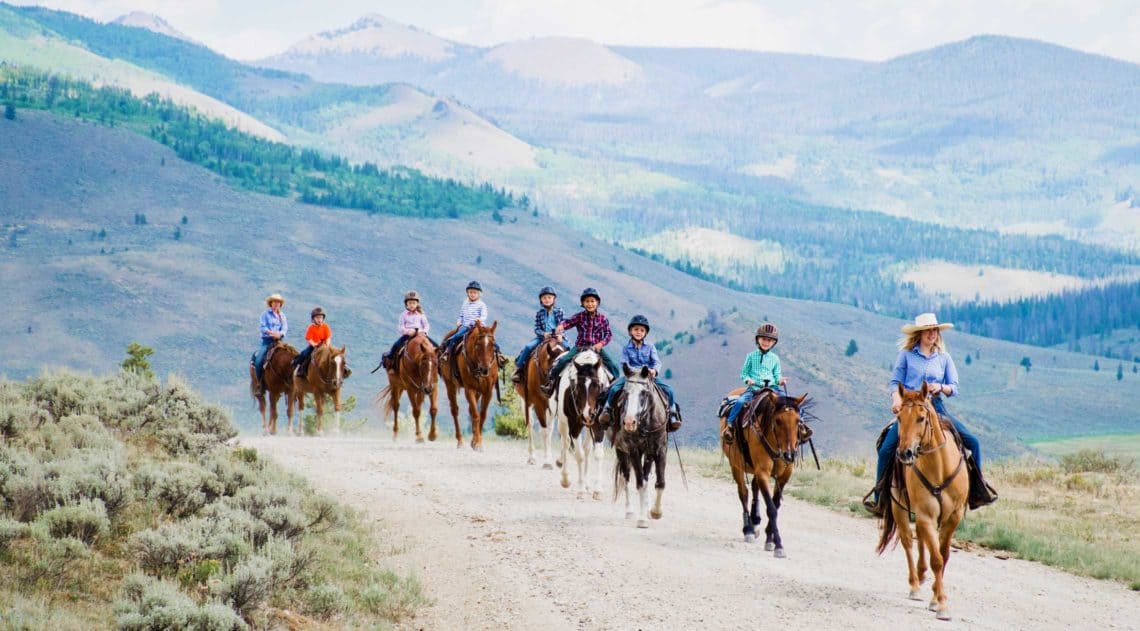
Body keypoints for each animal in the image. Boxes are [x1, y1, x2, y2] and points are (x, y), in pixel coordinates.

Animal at [437, 318, 497, 446]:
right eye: (478, 345)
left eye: (493, 344)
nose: (485, 369)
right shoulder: (469, 389)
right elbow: (476, 414)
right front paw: (477, 443)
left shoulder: (488, 391)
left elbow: (482, 415)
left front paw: (477, 441)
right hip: (449, 384)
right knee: (454, 410)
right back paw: (460, 440)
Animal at [554, 348, 615, 496]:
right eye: (578, 386)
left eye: (598, 385)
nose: (589, 413)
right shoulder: (574, 426)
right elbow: (579, 455)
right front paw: (581, 489)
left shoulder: (598, 425)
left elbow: (597, 454)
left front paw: (597, 490)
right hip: (563, 423)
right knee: (565, 443)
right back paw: (565, 479)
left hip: (588, 426)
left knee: (586, 448)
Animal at [611, 364, 670, 526]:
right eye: (625, 393)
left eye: (644, 393)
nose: (629, 422)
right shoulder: (633, 450)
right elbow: (639, 483)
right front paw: (642, 519)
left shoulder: (660, 449)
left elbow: (660, 483)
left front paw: (655, 512)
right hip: (621, 450)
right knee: (626, 477)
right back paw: (630, 511)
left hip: (648, 453)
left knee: (646, 476)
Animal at [715, 384, 807, 553]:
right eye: (777, 420)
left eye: (798, 421)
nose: (789, 454)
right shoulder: (763, 472)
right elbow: (771, 508)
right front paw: (777, 544)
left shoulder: (785, 475)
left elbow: (775, 505)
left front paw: (769, 538)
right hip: (736, 465)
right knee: (743, 492)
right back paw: (748, 529)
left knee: (754, 487)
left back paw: (755, 521)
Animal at [875, 378, 966, 619]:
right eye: (899, 417)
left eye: (921, 418)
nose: (905, 453)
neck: (940, 468)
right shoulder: (926, 514)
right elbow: (937, 559)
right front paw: (941, 604)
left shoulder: (953, 517)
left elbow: (944, 555)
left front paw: (935, 597)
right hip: (899, 507)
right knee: (908, 540)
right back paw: (915, 584)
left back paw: (922, 574)